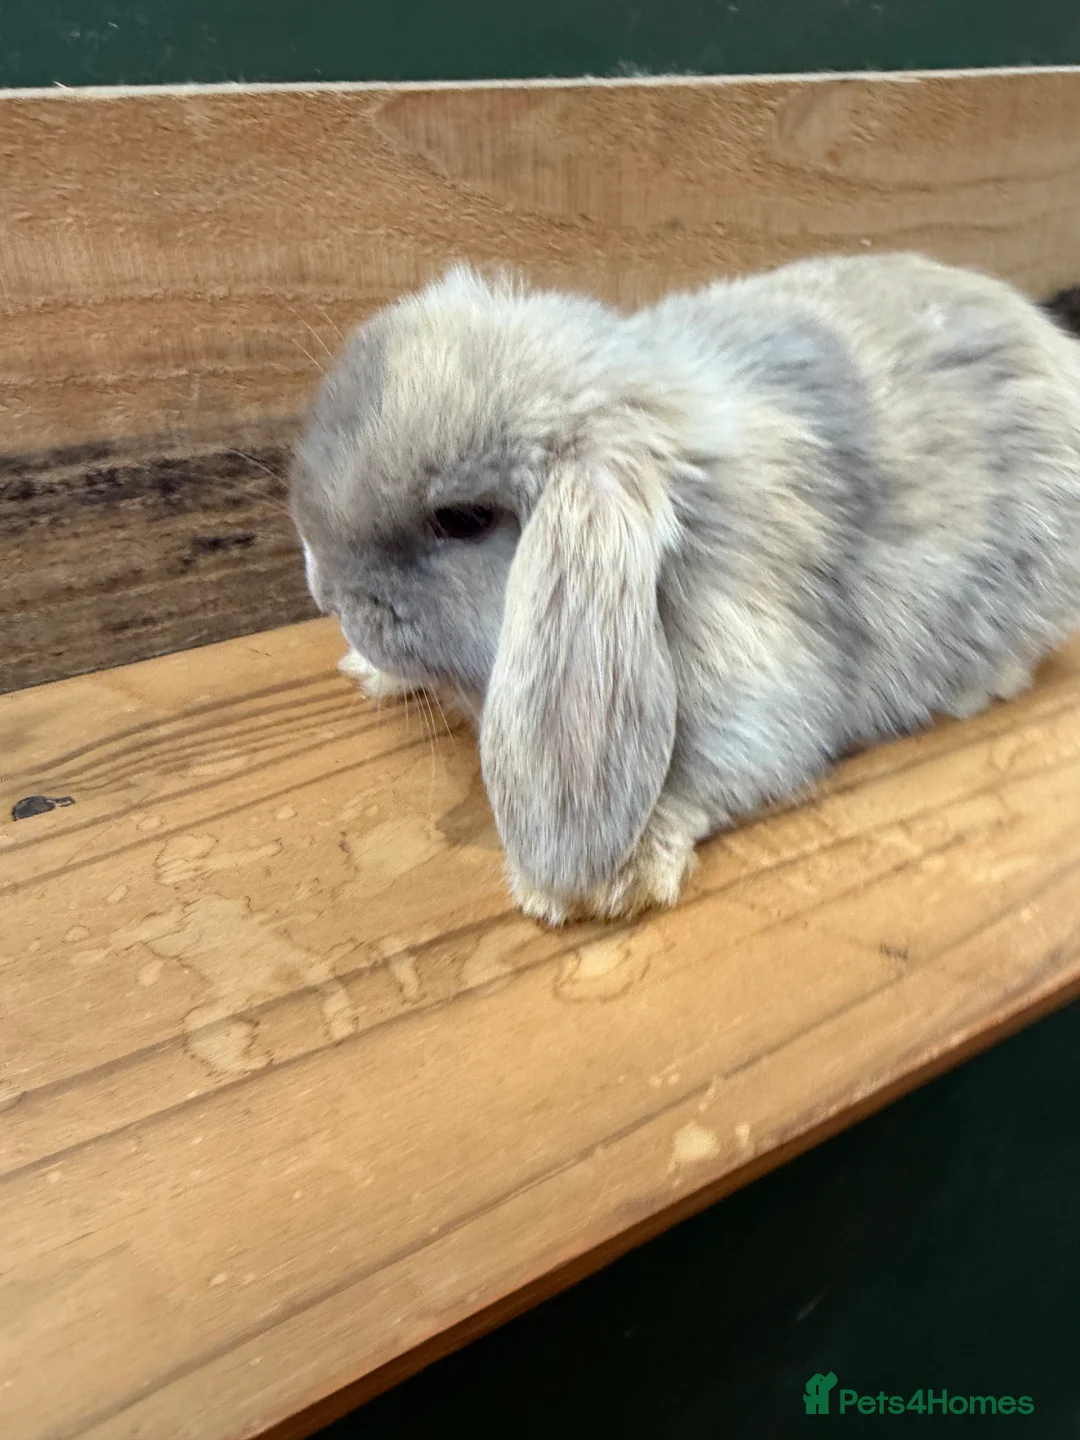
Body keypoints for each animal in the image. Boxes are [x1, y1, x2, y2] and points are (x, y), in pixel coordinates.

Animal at [290, 253, 1080, 926]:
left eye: (461, 520)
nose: (327, 594)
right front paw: (369, 671)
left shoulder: (758, 677)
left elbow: (714, 767)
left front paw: (606, 881)